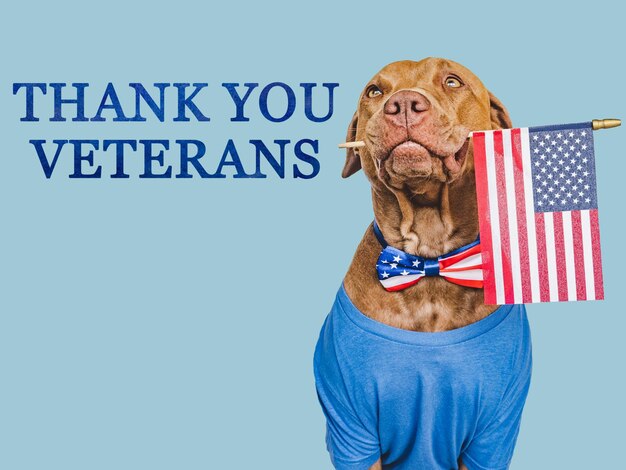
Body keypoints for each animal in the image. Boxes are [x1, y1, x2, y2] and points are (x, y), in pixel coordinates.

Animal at [314, 58, 528, 470]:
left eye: (453, 81)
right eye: (374, 91)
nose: (403, 104)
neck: (429, 263)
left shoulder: (493, 436)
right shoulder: (353, 432)